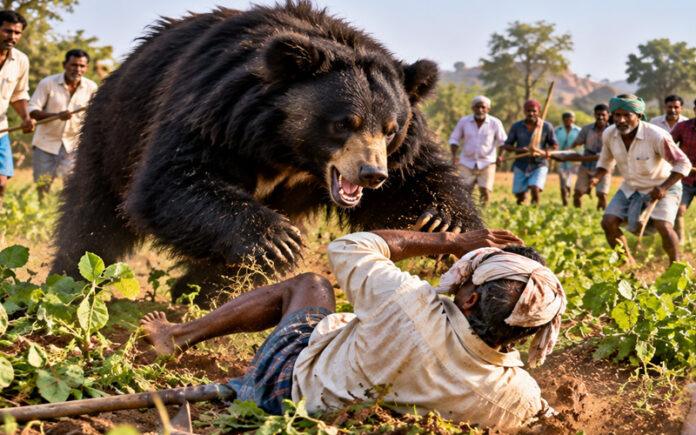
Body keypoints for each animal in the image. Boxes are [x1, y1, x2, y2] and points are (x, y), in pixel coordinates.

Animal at [51, 1, 483, 300]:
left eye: (391, 130)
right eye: (344, 123)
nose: (371, 175)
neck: (289, 148)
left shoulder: (398, 155)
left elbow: (414, 178)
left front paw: (441, 223)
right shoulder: (216, 108)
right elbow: (173, 178)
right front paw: (277, 241)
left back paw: (201, 291)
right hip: (111, 131)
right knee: (93, 216)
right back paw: (71, 278)